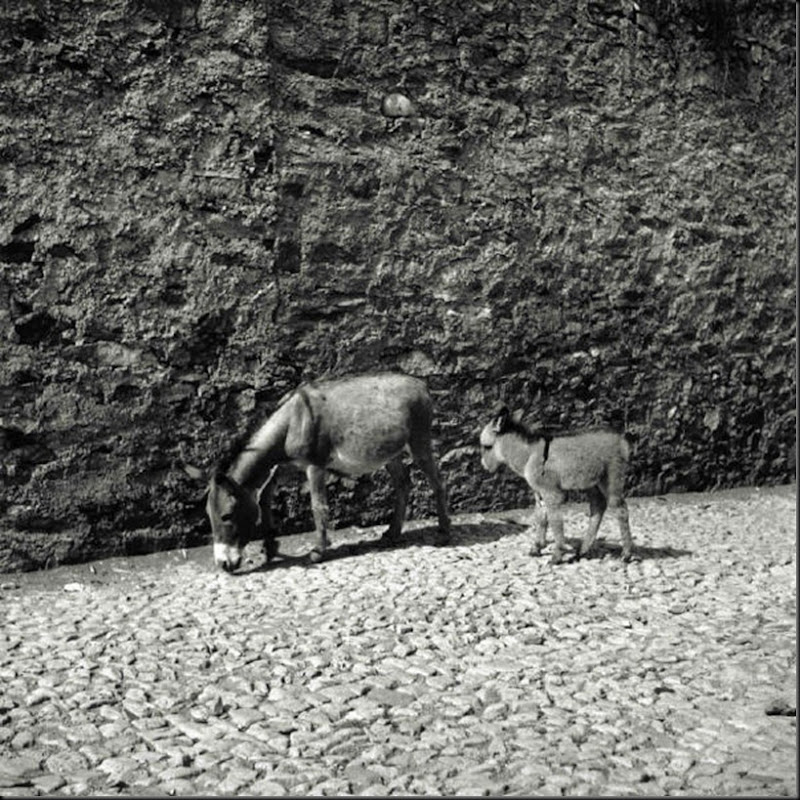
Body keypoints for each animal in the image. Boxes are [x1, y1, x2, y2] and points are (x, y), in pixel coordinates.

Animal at [206, 374, 454, 568]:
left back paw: (443, 532)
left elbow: (318, 506)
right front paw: (270, 547)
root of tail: (421, 384)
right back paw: (391, 534)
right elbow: (266, 496)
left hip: (418, 441)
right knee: (403, 484)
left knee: (437, 482)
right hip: (391, 454)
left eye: (226, 516)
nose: (223, 564)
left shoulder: (315, 466)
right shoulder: (288, 465)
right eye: (209, 515)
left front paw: (318, 551)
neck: (292, 420)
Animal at [478, 406, 636, 564]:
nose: (484, 466)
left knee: (621, 510)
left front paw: (557, 555)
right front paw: (537, 548)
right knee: (598, 507)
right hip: (592, 484)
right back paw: (583, 550)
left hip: (611, 479)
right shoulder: (539, 493)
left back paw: (626, 554)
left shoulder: (552, 493)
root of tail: (621, 438)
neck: (529, 454)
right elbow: (541, 518)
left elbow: (555, 521)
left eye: (487, 447)